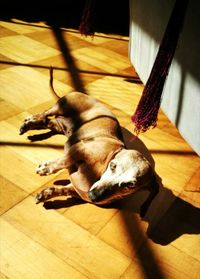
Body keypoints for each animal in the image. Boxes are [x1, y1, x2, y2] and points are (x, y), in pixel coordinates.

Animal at [19, 68, 159, 217]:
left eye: (130, 185)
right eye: (113, 166)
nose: (94, 196)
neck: (100, 169)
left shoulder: (77, 190)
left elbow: (62, 189)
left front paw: (46, 194)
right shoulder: (79, 148)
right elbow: (63, 161)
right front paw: (45, 168)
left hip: (58, 125)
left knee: (45, 121)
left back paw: (30, 125)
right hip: (60, 108)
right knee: (44, 114)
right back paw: (29, 122)